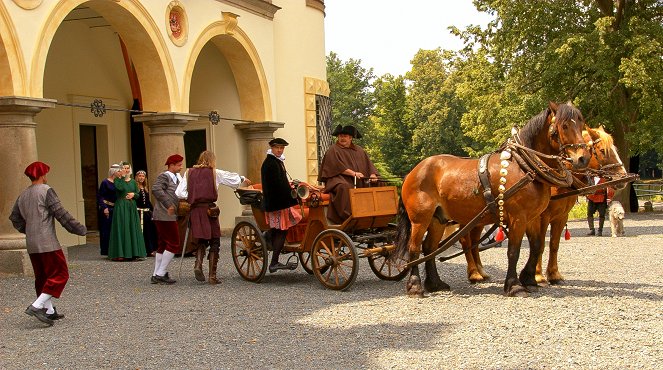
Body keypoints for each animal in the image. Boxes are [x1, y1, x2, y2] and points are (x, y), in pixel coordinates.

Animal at [394, 101, 592, 298]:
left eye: (581, 123)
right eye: (564, 126)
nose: (582, 158)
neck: (524, 167)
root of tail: (413, 172)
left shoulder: (533, 217)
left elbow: (537, 245)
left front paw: (529, 279)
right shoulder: (518, 217)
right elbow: (514, 251)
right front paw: (514, 285)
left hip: (438, 219)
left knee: (429, 247)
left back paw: (435, 283)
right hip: (421, 218)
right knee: (415, 248)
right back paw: (416, 286)